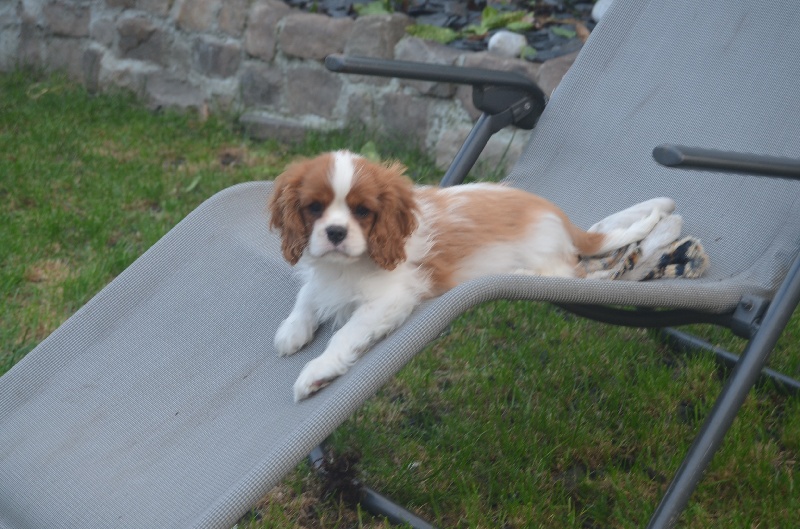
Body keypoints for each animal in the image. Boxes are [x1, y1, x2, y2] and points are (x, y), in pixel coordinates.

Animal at [270, 151, 676, 398]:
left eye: (362, 211)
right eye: (314, 208)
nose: (336, 233)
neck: (345, 267)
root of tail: (563, 219)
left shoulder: (392, 297)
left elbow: (346, 334)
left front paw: (317, 371)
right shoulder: (322, 279)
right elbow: (307, 296)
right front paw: (292, 330)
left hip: (544, 255)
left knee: (570, 272)